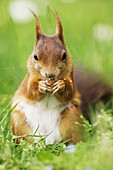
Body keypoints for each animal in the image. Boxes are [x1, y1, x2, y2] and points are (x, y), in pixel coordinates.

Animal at [11, 10, 84, 143]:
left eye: (64, 55)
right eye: (35, 56)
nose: (50, 74)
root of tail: (47, 139)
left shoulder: (70, 76)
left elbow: (69, 92)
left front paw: (61, 85)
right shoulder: (29, 79)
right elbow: (30, 90)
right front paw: (41, 86)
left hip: (72, 118)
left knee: (72, 137)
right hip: (19, 121)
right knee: (26, 139)